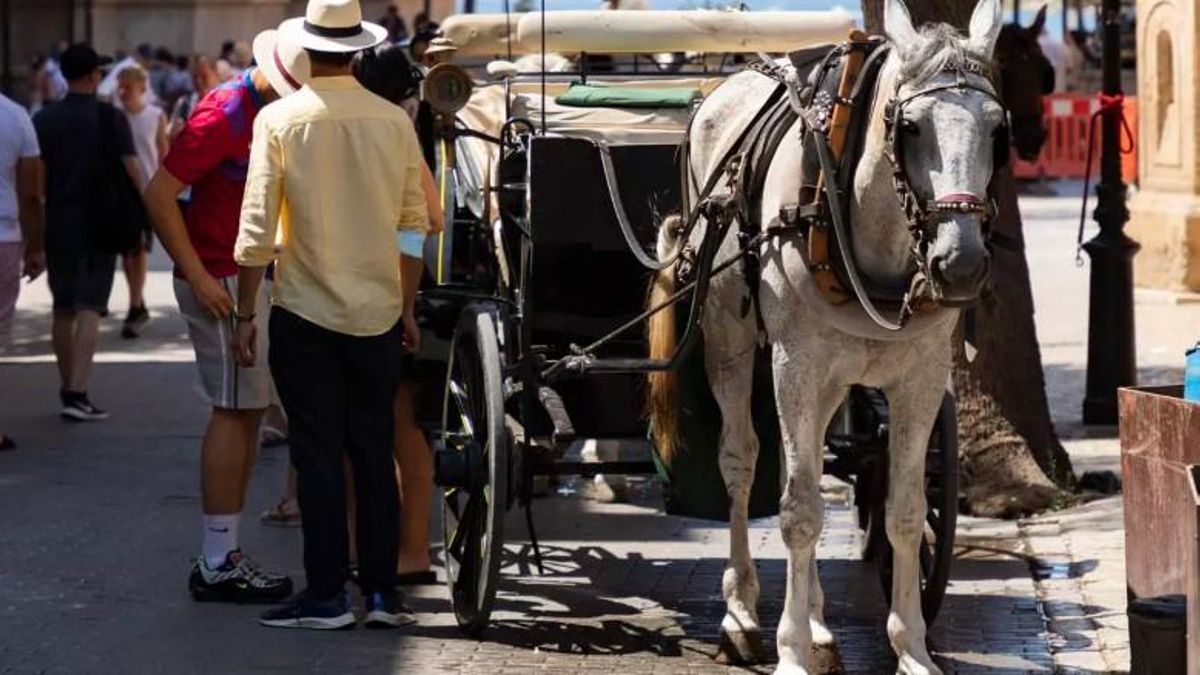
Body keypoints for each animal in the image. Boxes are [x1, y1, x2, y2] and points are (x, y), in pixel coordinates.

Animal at [646, 0, 1004, 672]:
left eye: (998, 129)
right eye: (910, 126)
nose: (961, 264)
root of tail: (720, 90)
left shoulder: (921, 378)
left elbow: (904, 512)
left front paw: (911, 648)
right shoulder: (796, 366)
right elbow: (799, 512)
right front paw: (788, 650)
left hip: (832, 378)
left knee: (808, 464)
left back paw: (816, 623)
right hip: (733, 343)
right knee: (743, 462)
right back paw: (742, 613)